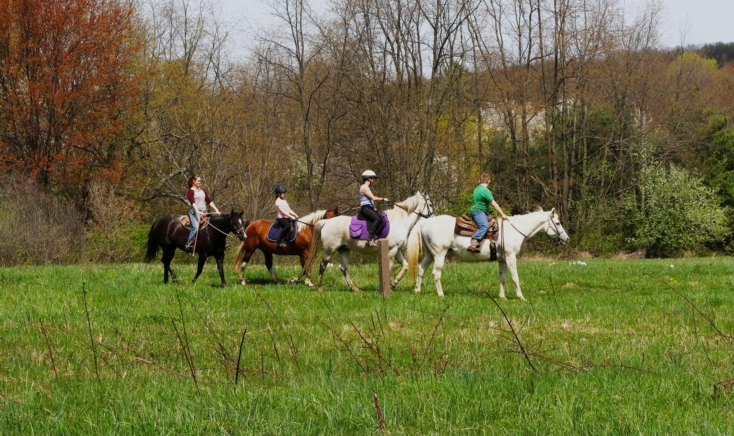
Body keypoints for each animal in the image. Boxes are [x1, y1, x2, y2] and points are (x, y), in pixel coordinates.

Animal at [306, 192, 434, 292]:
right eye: (430, 204)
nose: (433, 217)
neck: (399, 221)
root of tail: (326, 222)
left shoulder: (396, 250)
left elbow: (405, 266)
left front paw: (393, 284)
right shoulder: (392, 250)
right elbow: (390, 267)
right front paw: (388, 286)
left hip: (344, 250)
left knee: (344, 268)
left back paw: (355, 289)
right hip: (330, 249)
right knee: (323, 265)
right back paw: (320, 287)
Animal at [408, 209, 568, 298]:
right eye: (558, 223)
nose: (566, 239)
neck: (514, 229)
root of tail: (425, 222)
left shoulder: (503, 259)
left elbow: (502, 278)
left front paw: (502, 297)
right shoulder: (511, 257)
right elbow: (515, 277)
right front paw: (521, 296)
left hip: (430, 254)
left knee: (421, 269)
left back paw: (417, 291)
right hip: (439, 254)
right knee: (436, 273)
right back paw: (441, 295)